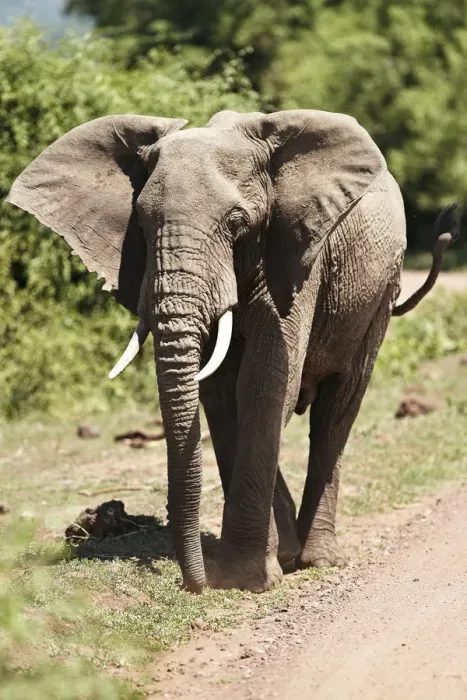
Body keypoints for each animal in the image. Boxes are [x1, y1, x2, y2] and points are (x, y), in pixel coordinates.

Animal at [7, 109, 459, 594]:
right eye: (141, 223)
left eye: (238, 224)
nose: (194, 584)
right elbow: (224, 394)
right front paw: (240, 572)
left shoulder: (295, 253)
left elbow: (264, 381)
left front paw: (244, 579)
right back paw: (288, 550)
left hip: (378, 292)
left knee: (338, 408)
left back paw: (317, 558)